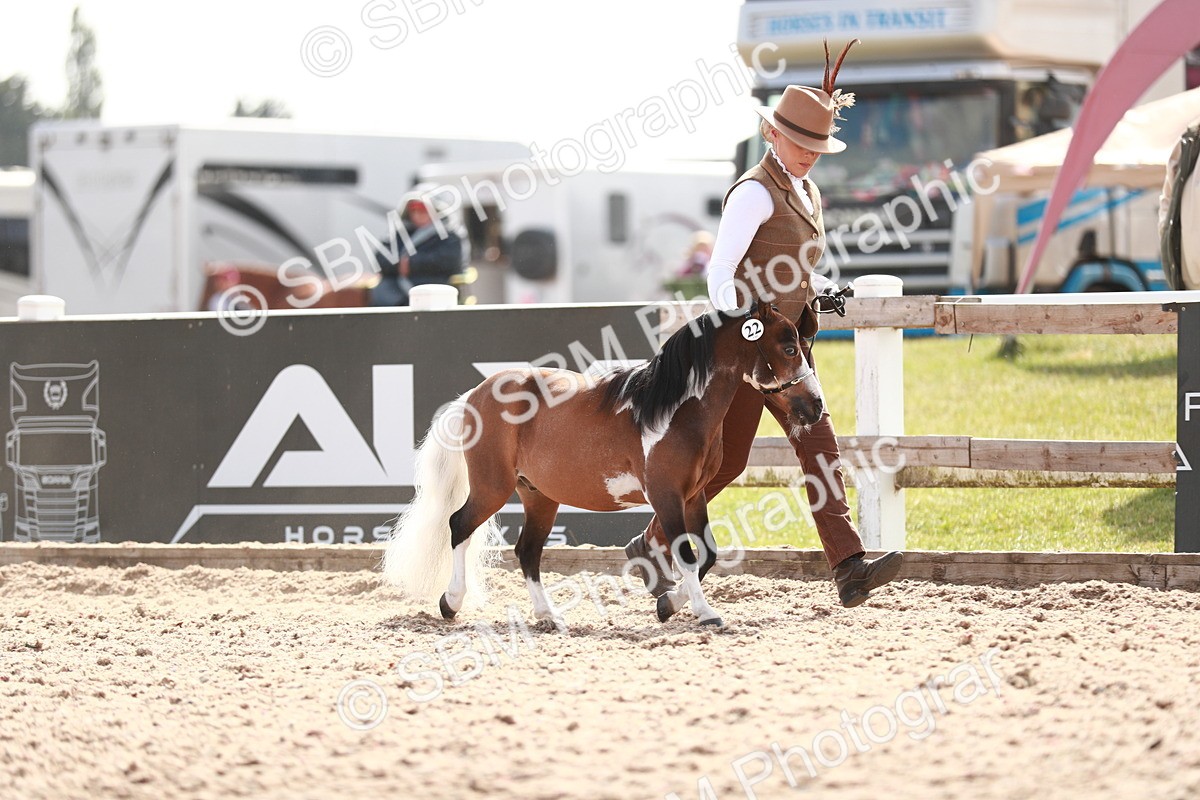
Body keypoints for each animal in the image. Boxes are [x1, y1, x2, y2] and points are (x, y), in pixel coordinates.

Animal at [382, 301, 825, 629]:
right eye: (789, 349)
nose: (816, 406)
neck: (674, 410)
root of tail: (473, 395)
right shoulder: (666, 496)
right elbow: (686, 554)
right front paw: (705, 613)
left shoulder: (694, 496)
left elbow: (709, 555)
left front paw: (668, 604)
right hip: (493, 487)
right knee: (459, 526)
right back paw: (451, 603)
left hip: (538, 495)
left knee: (527, 551)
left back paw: (549, 616)